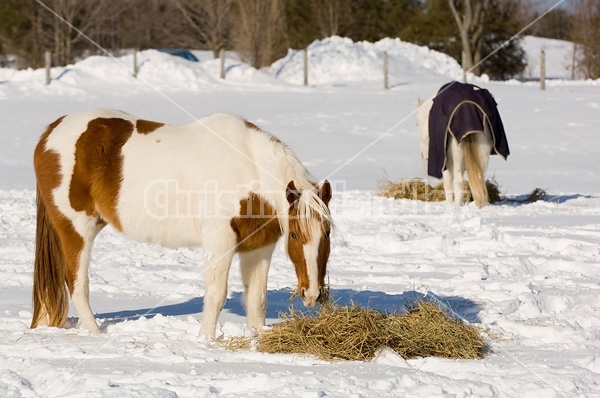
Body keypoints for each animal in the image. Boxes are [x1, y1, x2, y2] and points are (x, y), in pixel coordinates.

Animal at [30, 109, 332, 338]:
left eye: (328, 234)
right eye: (295, 235)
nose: (312, 294)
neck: (249, 167)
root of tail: (50, 133)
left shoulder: (258, 247)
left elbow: (257, 299)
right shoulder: (219, 241)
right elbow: (216, 294)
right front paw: (205, 340)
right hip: (76, 229)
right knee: (76, 282)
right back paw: (95, 333)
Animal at [418, 79, 510, 207]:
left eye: (417, 123)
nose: (423, 155)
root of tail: (469, 108)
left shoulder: (446, 161)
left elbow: (448, 182)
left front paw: (449, 204)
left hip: (456, 156)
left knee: (458, 181)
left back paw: (456, 206)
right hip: (482, 152)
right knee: (478, 177)